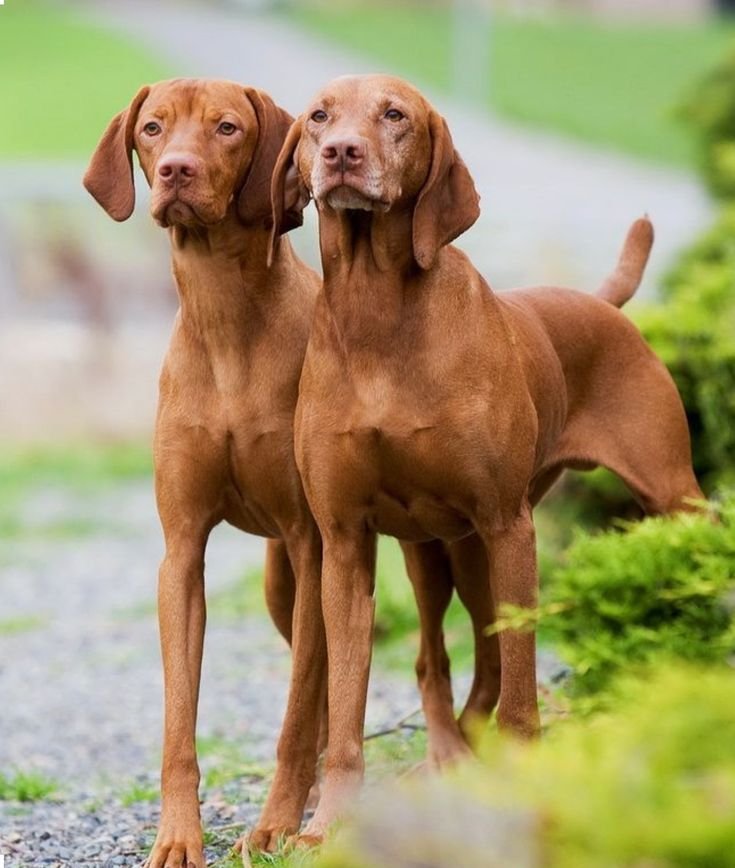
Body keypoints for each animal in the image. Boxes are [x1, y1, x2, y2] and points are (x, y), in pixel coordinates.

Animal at [270, 74, 700, 840]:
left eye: (394, 115)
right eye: (318, 116)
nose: (341, 152)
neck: (377, 311)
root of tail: (599, 304)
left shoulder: (507, 525)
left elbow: (523, 683)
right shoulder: (344, 542)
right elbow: (346, 706)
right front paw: (329, 824)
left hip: (661, 495)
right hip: (444, 554)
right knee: (447, 657)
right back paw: (448, 757)